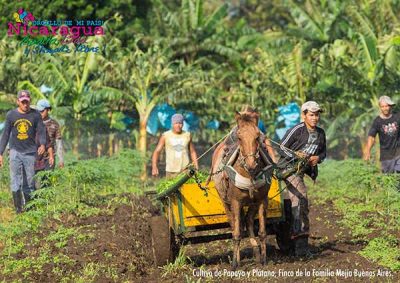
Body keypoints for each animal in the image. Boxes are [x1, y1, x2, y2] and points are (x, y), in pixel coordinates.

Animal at [209, 111, 272, 268]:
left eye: (257, 136)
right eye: (239, 137)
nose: (251, 164)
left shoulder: (262, 200)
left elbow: (262, 232)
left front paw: (264, 260)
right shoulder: (236, 202)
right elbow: (236, 234)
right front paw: (234, 264)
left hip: (252, 203)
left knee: (248, 221)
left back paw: (256, 254)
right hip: (225, 201)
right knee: (234, 225)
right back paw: (237, 258)